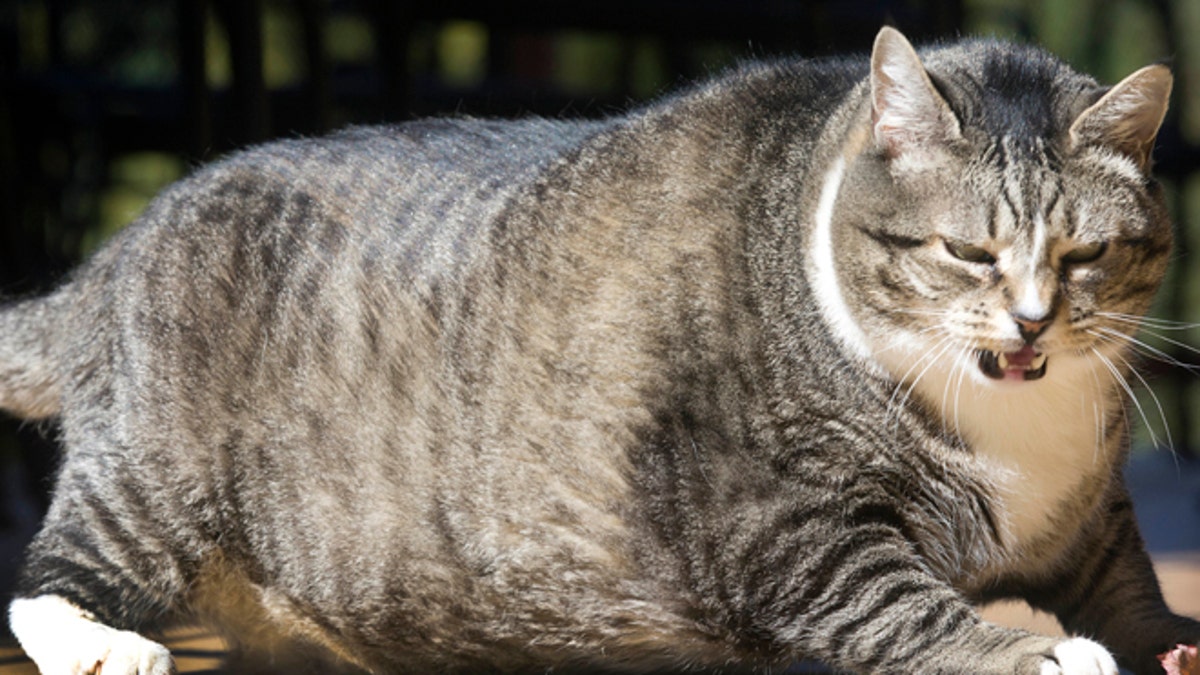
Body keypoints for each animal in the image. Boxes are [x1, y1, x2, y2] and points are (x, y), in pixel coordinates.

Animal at [2, 26, 1200, 672]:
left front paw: (1170, 633)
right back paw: (103, 639)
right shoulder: (783, 527)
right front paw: (1037, 648)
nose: (1033, 321)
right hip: (153, 473)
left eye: (1085, 255)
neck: (1009, 419)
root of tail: (117, 252)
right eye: (967, 250)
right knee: (45, 577)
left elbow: (1128, 583)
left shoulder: (1088, 512)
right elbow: (904, 604)